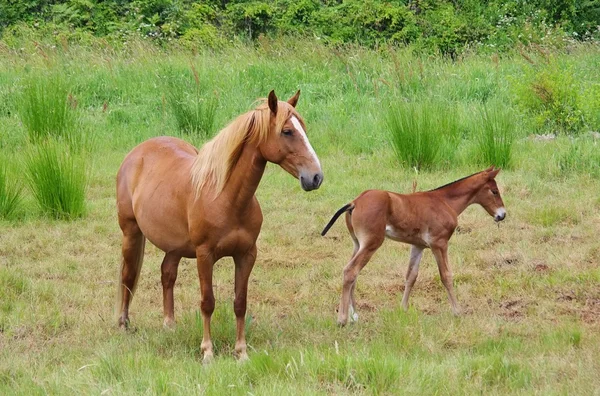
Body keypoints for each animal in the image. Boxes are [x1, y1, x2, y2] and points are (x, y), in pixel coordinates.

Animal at [116, 90, 324, 362]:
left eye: (303, 128)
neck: (226, 197)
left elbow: (240, 303)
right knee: (128, 276)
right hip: (131, 232)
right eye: (287, 131)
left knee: (167, 274)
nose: (316, 177)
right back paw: (123, 324)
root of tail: (136, 154)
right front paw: (207, 352)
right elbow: (208, 302)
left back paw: (170, 325)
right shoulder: (205, 256)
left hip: (174, 246)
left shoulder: (246, 255)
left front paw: (241, 352)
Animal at [322, 166, 504, 324]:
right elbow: (446, 275)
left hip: (358, 244)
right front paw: (457, 311)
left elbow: (411, 276)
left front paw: (403, 309)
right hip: (371, 243)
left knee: (353, 273)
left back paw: (354, 316)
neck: (444, 201)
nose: (502, 215)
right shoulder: (439, 244)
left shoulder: (418, 246)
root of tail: (355, 202)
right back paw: (343, 319)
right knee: (350, 271)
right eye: (494, 191)